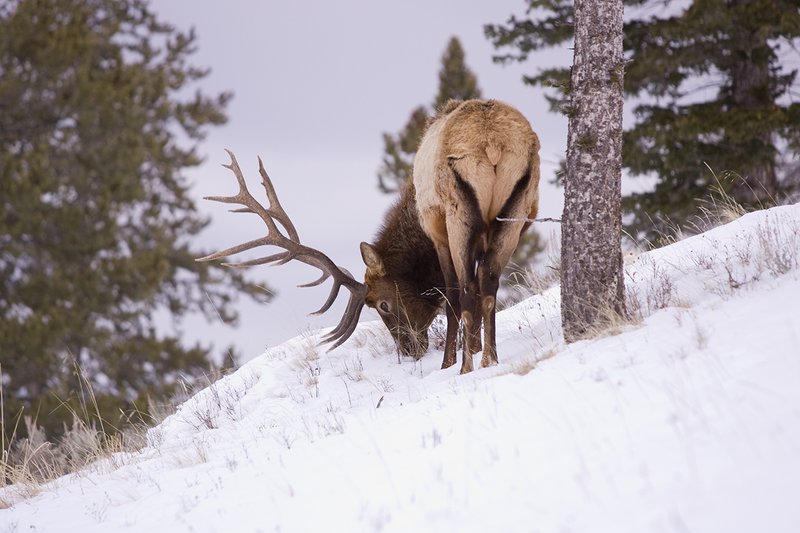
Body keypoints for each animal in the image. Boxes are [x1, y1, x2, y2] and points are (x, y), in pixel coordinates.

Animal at [198, 99, 540, 374]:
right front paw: (476, 349)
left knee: (467, 289)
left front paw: (448, 362)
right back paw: (489, 359)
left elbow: (452, 295)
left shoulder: (437, 231)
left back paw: (467, 366)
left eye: (381, 304)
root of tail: (491, 143)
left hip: (457, 214)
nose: (409, 349)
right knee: (489, 283)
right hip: (517, 209)